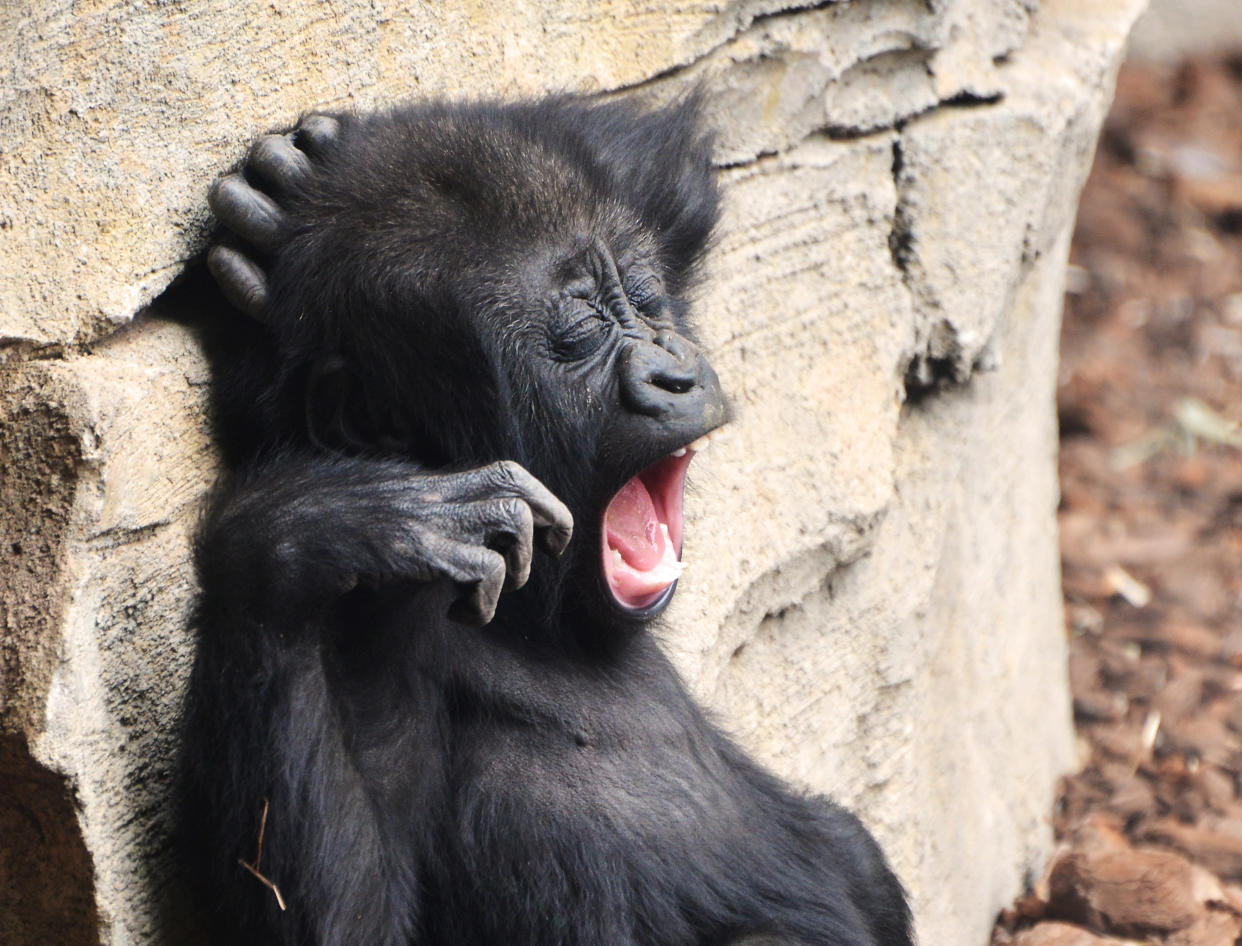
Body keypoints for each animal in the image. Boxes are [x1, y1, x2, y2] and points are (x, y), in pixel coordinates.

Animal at [180, 90, 914, 943]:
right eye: (581, 332)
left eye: (646, 300)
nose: (673, 373)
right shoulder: (376, 640)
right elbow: (347, 922)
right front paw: (301, 536)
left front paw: (290, 184)